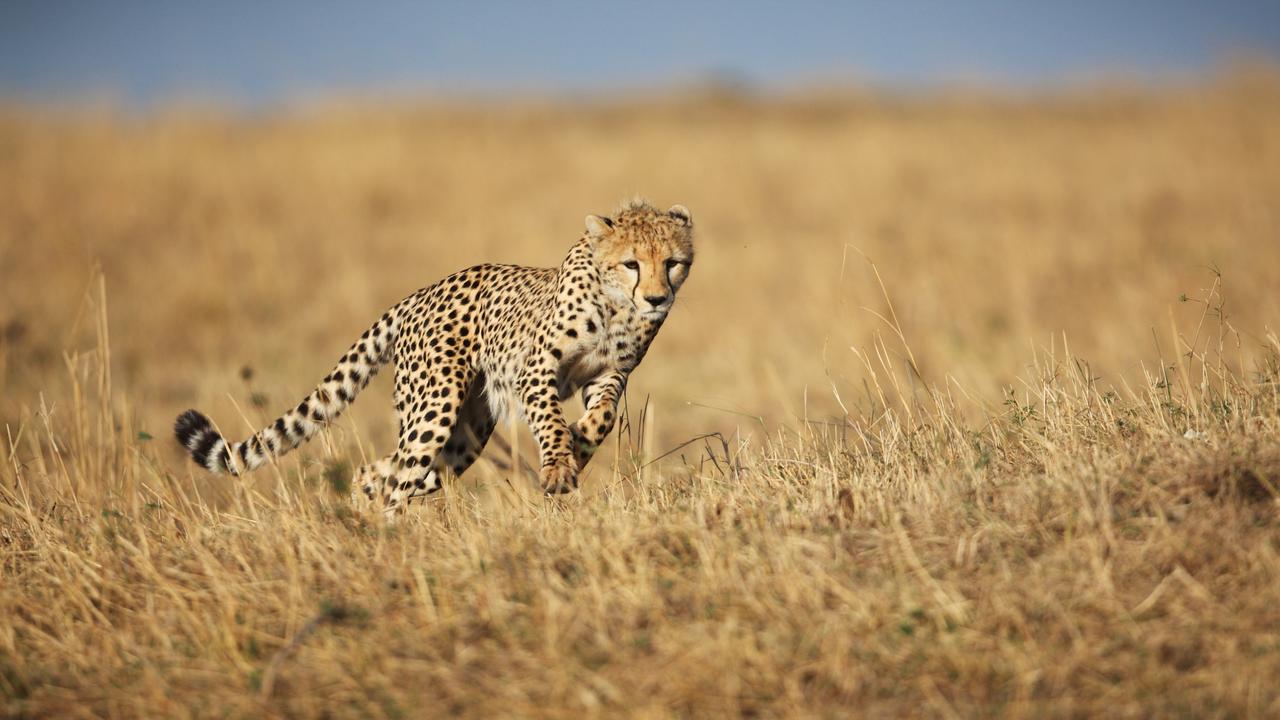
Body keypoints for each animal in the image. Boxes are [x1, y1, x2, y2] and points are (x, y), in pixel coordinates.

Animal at [175, 198, 696, 512]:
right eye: (631, 264)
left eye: (673, 263)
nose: (657, 298)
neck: (616, 306)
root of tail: (415, 296)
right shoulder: (536, 369)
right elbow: (549, 418)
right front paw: (558, 463)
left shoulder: (609, 374)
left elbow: (602, 417)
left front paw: (577, 444)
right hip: (436, 407)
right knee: (397, 478)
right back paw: (387, 540)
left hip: (465, 435)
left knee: (379, 473)